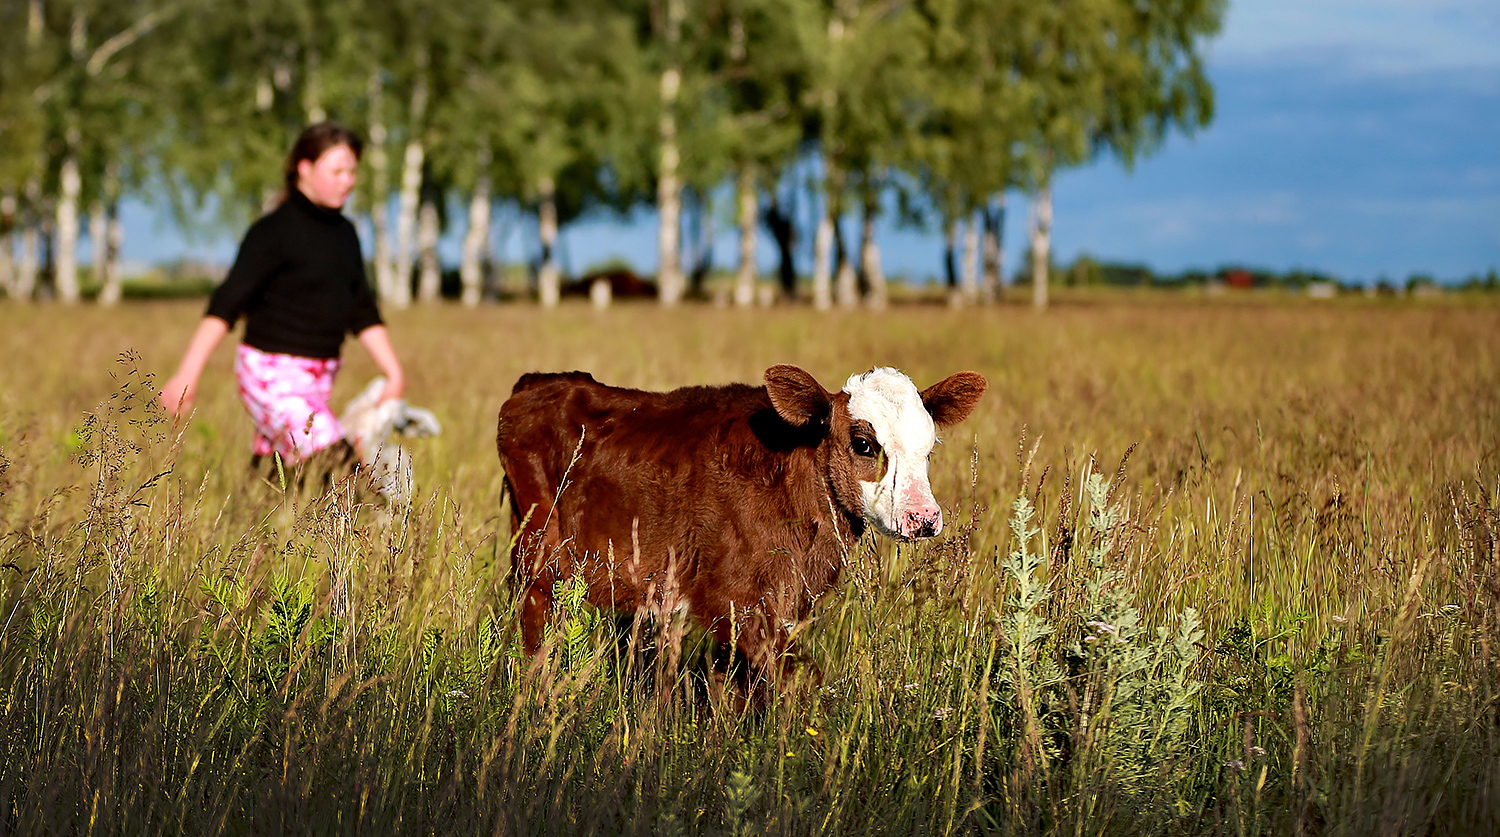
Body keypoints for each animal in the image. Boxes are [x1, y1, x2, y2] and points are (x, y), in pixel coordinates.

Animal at [495, 364, 984, 693]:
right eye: (864, 444)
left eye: (929, 448)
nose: (923, 518)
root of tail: (540, 381)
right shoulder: (735, 600)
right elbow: (797, 681)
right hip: (539, 550)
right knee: (534, 620)